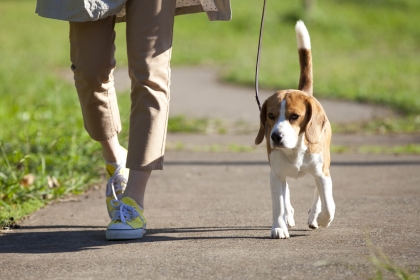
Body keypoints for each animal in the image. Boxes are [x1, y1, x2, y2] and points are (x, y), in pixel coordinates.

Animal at [254, 20, 336, 238]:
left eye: (294, 117)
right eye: (270, 116)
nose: (275, 137)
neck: (295, 149)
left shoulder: (322, 172)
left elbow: (328, 202)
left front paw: (322, 218)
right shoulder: (275, 175)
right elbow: (278, 204)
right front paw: (279, 227)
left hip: (324, 163)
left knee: (318, 191)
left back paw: (314, 215)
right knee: (286, 194)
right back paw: (289, 215)